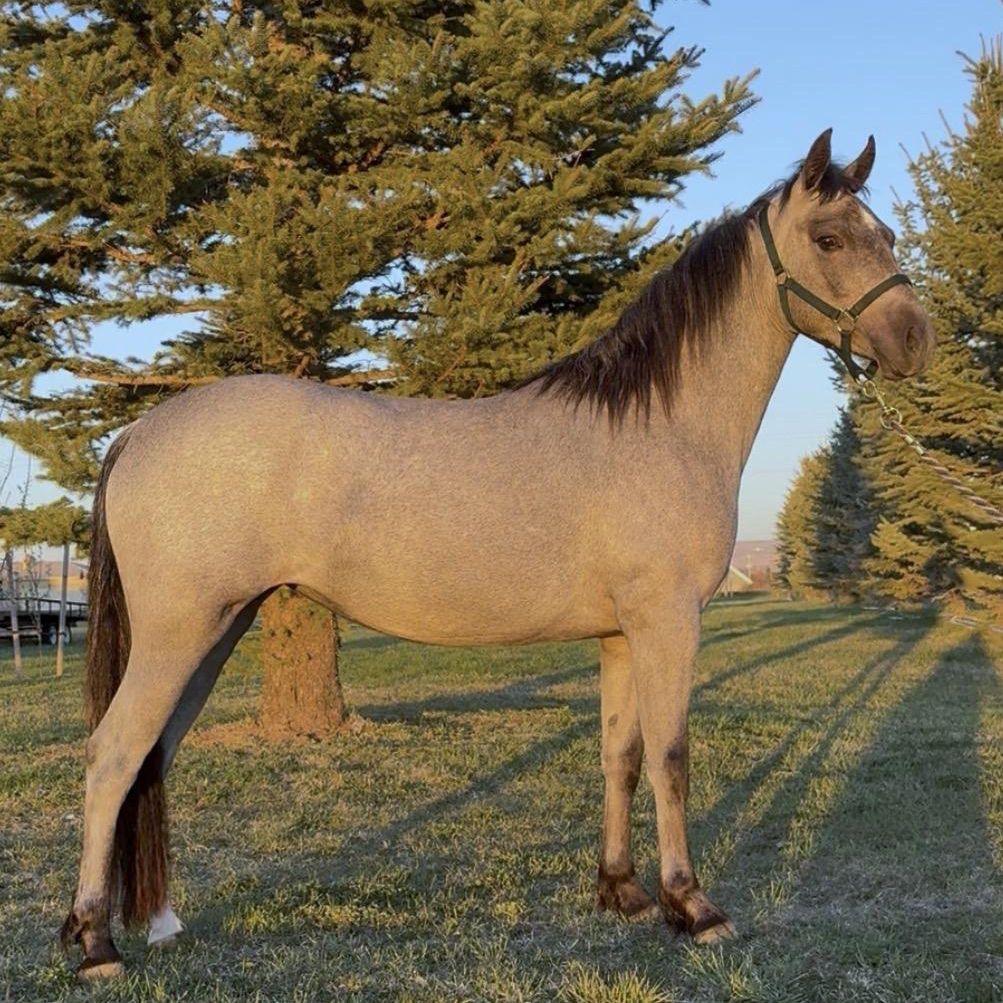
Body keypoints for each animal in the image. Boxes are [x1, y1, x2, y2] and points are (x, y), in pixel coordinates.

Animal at [59, 130, 935, 977]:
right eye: (828, 238)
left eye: (886, 234)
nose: (913, 340)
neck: (657, 425)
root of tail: (138, 432)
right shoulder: (668, 623)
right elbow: (671, 757)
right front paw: (692, 905)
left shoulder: (620, 634)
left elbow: (619, 753)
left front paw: (621, 891)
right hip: (180, 636)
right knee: (112, 756)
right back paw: (96, 942)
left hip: (214, 634)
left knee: (151, 760)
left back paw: (148, 922)